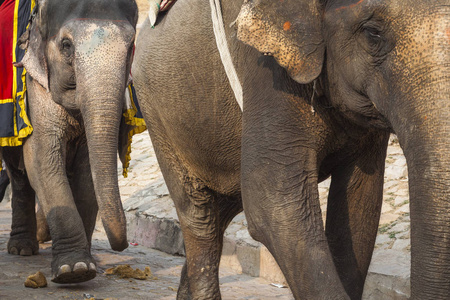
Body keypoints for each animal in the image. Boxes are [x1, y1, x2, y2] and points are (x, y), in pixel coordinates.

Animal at [1, 0, 139, 284]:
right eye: (66, 45)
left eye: (131, 44)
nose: (122, 246)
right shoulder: (35, 85)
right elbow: (42, 161)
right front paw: (74, 271)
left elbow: (87, 175)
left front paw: (86, 265)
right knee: (19, 175)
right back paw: (22, 249)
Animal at [132, 0, 448, 298]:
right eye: (373, 33)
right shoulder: (266, 72)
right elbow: (272, 200)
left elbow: (360, 204)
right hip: (158, 116)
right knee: (199, 215)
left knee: (223, 208)